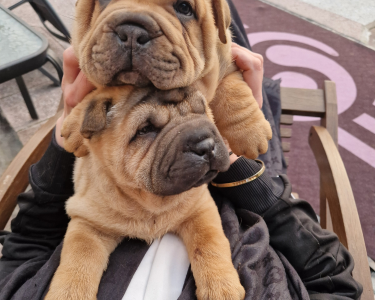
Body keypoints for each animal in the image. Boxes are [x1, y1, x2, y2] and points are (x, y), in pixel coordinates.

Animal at [45, 85, 247, 298]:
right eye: (145, 129)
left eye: (201, 110)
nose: (206, 145)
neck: (147, 201)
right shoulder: (87, 222)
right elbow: (78, 261)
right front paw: (68, 294)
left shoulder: (200, 208)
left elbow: (209, 243)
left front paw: (221, 287)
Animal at [69, 0, 272, 159]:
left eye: (184, 7)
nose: (132, 31)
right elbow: (95, 92)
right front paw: (76, 127)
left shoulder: (227, 64)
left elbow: (234, 93)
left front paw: (251, 133)